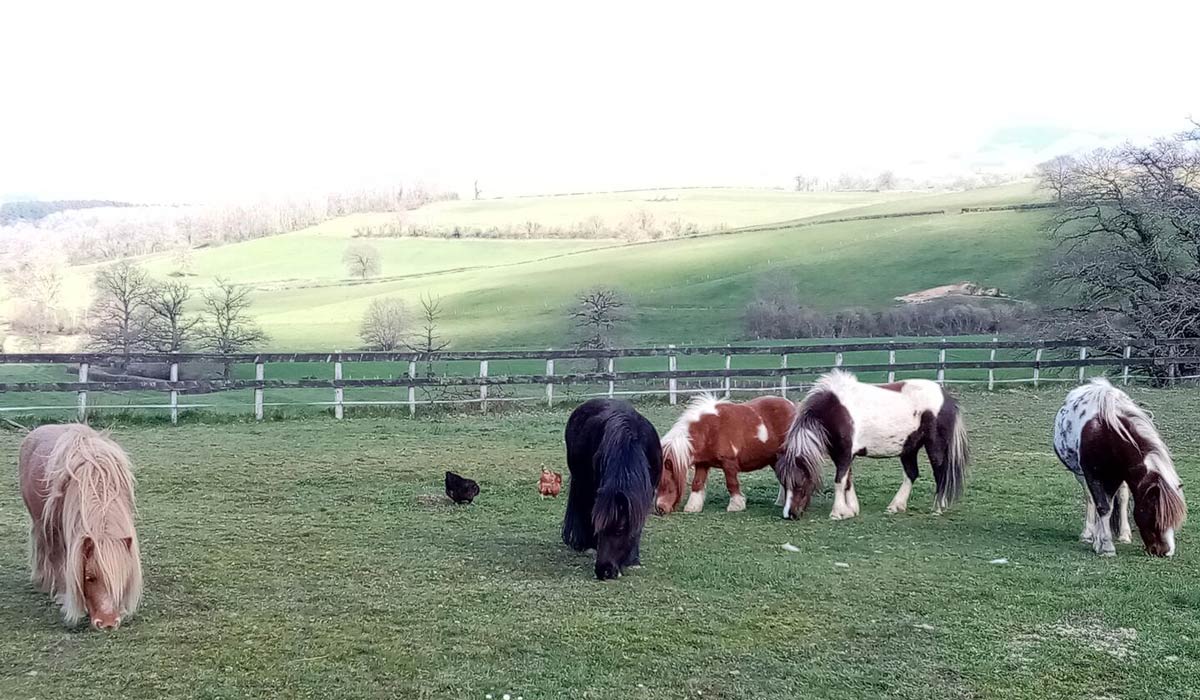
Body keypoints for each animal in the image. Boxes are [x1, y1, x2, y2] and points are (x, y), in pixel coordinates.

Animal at [18, 425, 142, 633]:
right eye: (89, 577)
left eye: (122, 577)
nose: (108, 624)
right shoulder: (56, 532)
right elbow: (58, 562)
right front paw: (63, 597)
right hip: (40, 521)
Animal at [657, 393, 796, 513]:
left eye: (666, 483)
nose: (659, 509)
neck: (709, 430)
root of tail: (792, 407)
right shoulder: (702, 464)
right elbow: (697, 484)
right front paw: (693, 507)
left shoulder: (729, 463)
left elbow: (731, 483)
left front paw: (736, 505)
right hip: (774, 459)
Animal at [777, 372, 964, 521]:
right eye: (784, 484)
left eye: (800, 484)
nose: (790, 515)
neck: (835, 411)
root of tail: (946, 397)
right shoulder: (840, 454)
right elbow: (847, 480)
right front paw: (851, 510)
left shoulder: (844, 453)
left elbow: (839, 481)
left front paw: (837, 513)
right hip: (908, 448)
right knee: (911, 474)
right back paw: (895, 506)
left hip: (935, 447)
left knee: (940, 474)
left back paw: (938, 508)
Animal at [1056, 377, 1185, 559]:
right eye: (1153, 514)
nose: (1166, 552)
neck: (1105, 432)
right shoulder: (1092, 475)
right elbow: (1102, 506)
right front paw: (1106, 546)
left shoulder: (1117, 476)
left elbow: (1110, 505)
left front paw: (1103, 542)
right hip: (1082, 475)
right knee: (1091, 499)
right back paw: (1088, 534)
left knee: (1121, 498)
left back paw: (1122, 535)